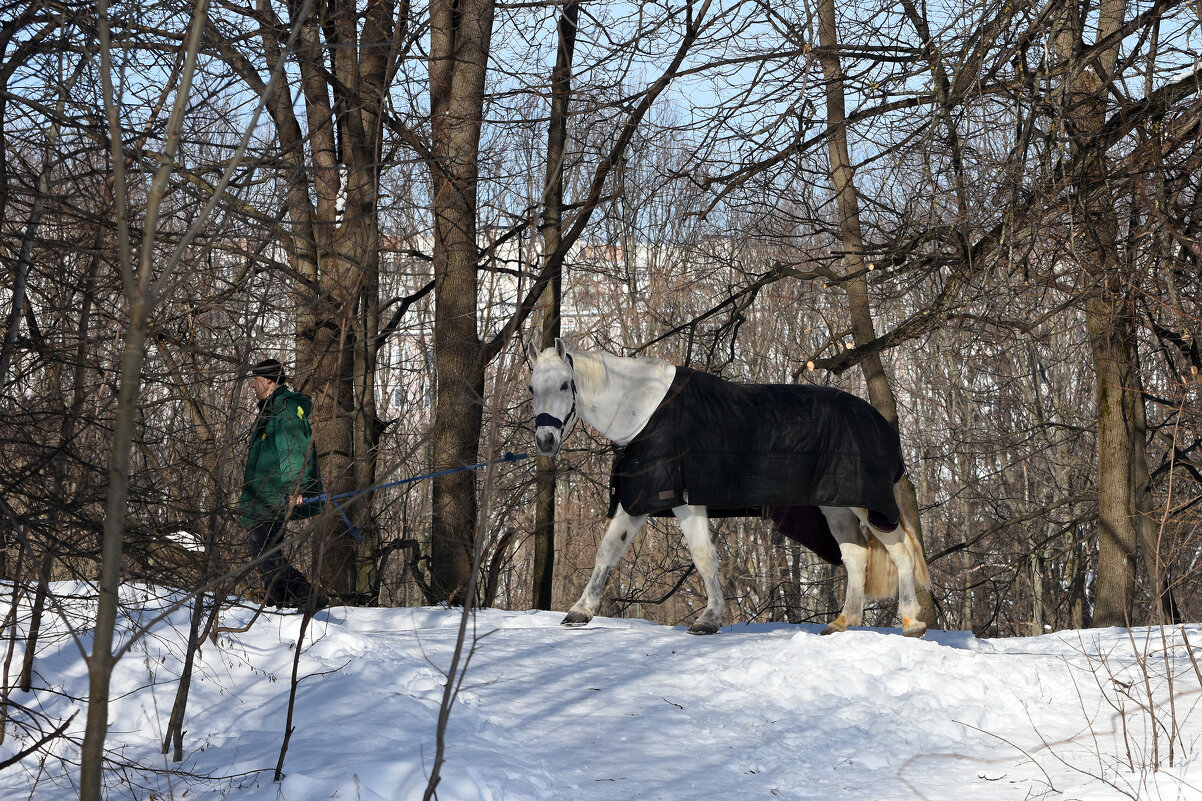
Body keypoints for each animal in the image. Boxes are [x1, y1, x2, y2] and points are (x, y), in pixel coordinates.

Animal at [531, 339, 932, 635]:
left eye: (565, 384)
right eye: (532, 386)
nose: (546, 441)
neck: (645, 412)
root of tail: (878, 422)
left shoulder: (685, 501)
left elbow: (703, 556)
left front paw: (708, 619)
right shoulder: (640, 499)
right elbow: (608, 551)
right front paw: (581, 611)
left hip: (868, 505)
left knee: (900, 552)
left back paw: (911, 621)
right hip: (835, 505)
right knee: (855, 556)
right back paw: (842, 622)